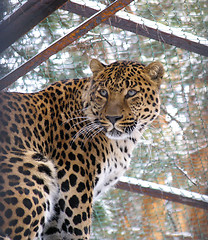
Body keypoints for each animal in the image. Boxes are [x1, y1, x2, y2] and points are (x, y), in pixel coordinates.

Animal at [0, 58, 164, 240]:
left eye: (131, 93)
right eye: (103, 92)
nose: (112, 118)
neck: (122, 143)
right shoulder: (75, 185)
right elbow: (79, 229)